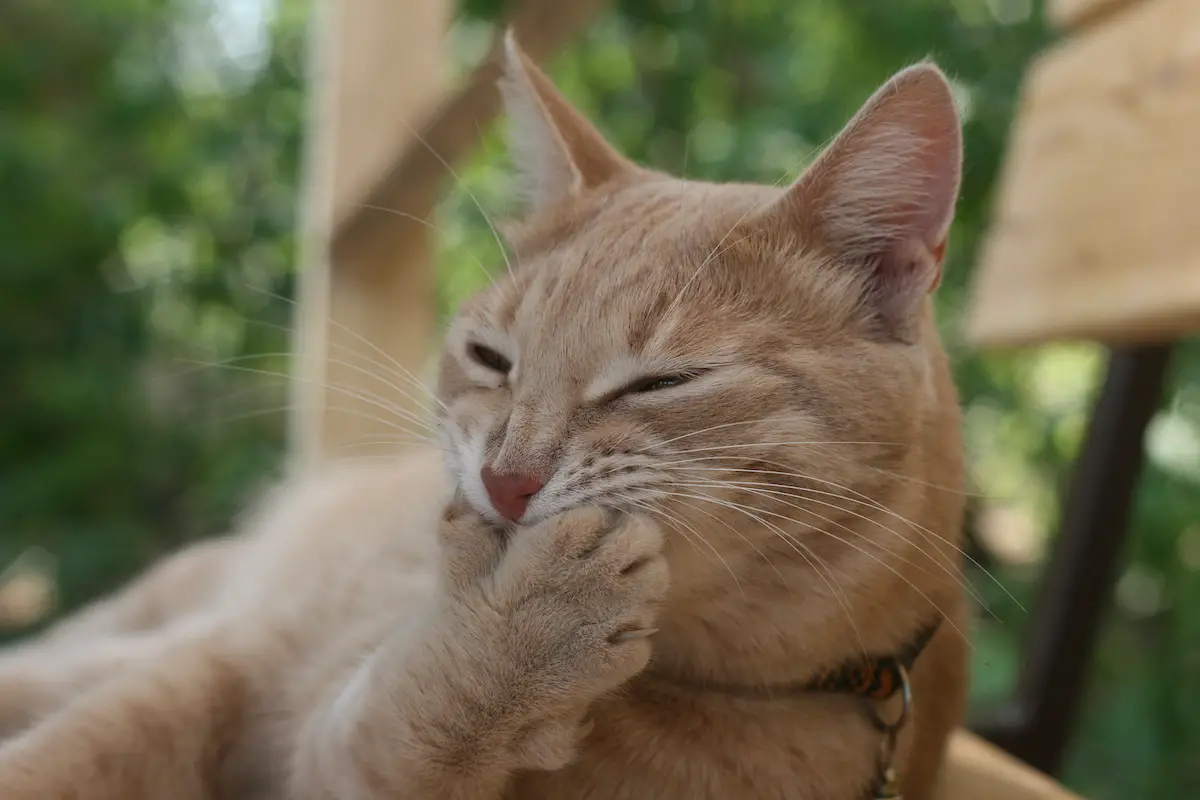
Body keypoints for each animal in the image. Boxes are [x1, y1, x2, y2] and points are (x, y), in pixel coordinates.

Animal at [0, 35, 964, 800]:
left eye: (659, 382)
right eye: (493, 358)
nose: (506, 479)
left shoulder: (315, 754)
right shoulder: (243, 680)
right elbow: (75, 757)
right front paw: (519, 638)